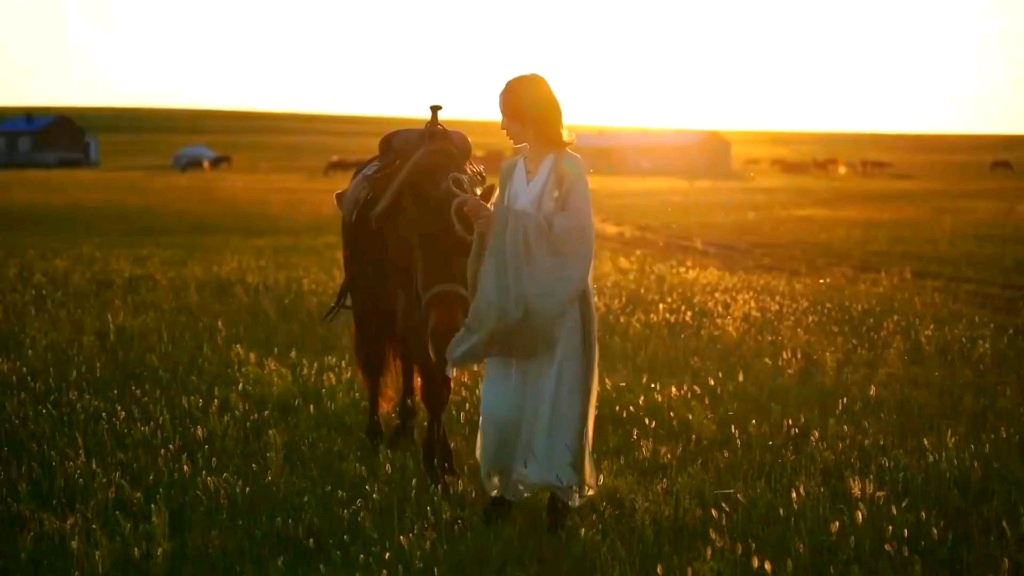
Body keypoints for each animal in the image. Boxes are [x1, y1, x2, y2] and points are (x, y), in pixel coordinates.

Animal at [321, 106, 493, 483]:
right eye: (416, 240)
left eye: (472, 244)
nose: (445, 323)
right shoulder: (412, 311)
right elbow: (431, 383)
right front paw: (434, 463)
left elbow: (439, 380)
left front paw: (442, 459)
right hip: (369, 305)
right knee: (375, 364)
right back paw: (376, 434)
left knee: (406, 358)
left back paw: (404, 427)